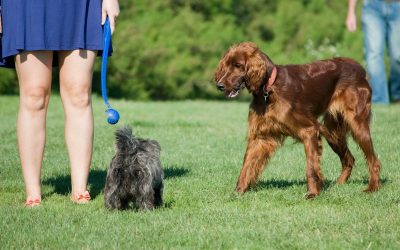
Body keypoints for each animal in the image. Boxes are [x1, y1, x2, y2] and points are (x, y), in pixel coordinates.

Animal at [214, 41, 380, 197]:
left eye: (238, 65)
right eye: (226, 65)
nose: (219, 86)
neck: (268, 90)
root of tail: (358, 68)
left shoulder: (310, 131)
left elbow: (311, 168)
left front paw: (312, 193)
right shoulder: (260, 138)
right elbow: (246, 166)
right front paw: (237, 192)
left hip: (357, 125)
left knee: (373, 160)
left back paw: (372, 188)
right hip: (332, 132)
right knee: (349, 159)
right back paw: (338, 185)